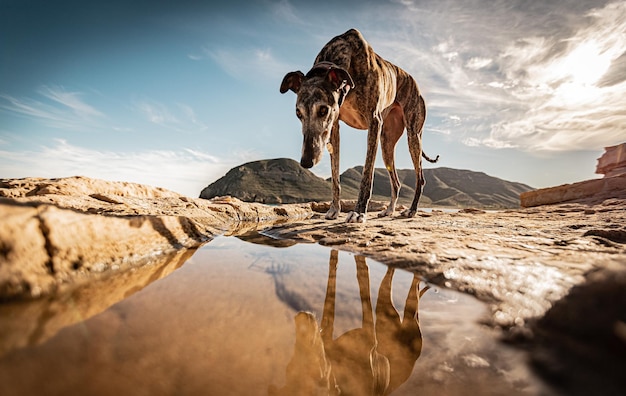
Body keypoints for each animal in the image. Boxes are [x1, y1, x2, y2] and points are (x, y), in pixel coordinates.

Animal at [280, 28, 436, 223]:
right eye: (298, 113)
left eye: (323, 109)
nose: (306, 162)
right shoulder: (334, 127)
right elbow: (335, 176)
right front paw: (334, 209)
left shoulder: (374, 121)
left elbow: (366, 175)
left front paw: (359, 212)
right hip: (386, 142)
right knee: (396, 181)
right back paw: (389, 210)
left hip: (413, 135)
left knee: (420, 177)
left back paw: (412, 210)